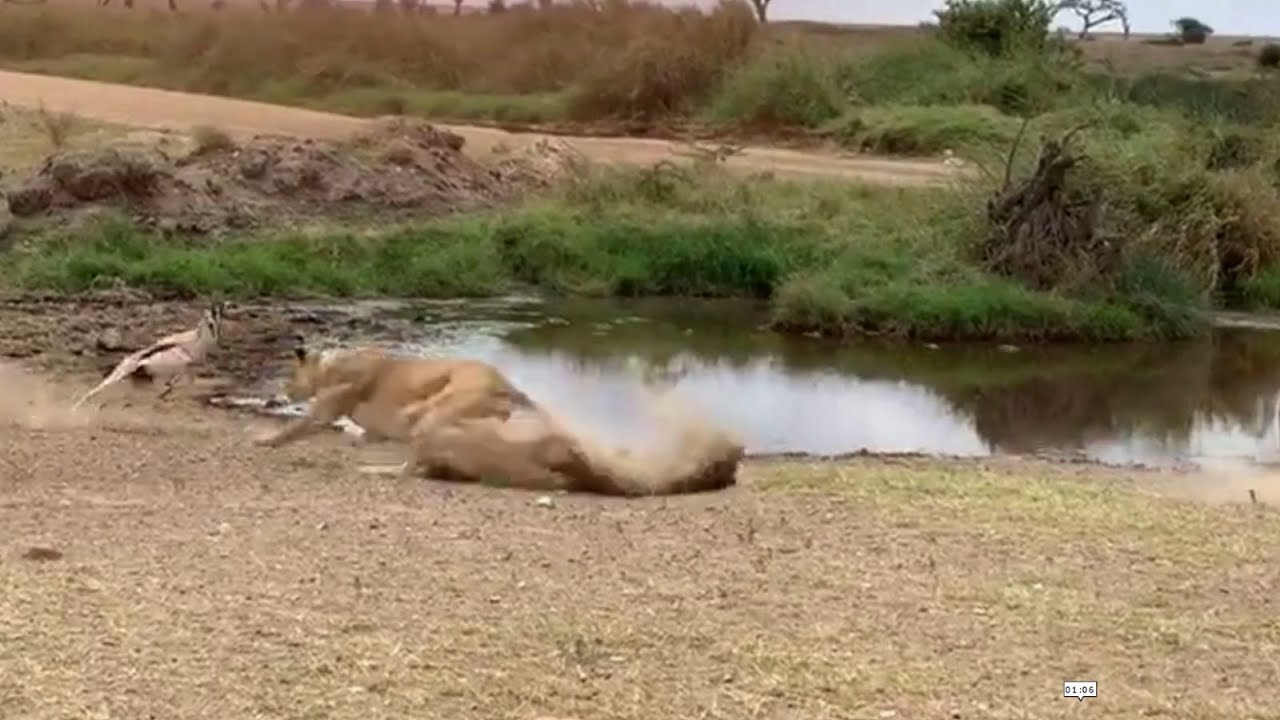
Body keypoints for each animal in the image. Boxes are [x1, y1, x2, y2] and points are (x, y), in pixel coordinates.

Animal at [253, 343, 744, 496]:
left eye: (286, 374)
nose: (277, 393)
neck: (330, 365)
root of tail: (507, 382)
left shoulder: (326, 406)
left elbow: (296, 426)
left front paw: (263, 440)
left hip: (439, 411)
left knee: (413, 463)